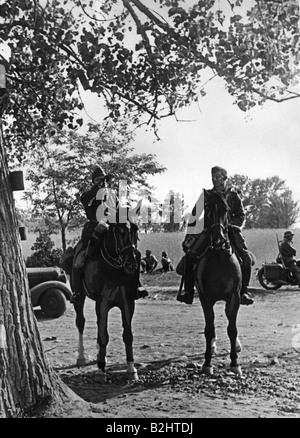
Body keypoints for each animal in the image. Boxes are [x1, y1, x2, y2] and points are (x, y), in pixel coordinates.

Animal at [71, 221, 139, 382]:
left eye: (135, 231)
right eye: (120, 231)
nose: (131, 263)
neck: (114, 269)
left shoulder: (128, 303)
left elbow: (128, 336)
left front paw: (131, 369)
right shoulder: (103, 302)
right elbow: (103, 336)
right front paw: (101, 371)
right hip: (80, 298)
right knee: (81, 322)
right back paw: (82, 357)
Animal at [195, 191, 244, 376]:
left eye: (227, 210)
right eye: (207, 209)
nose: (218, 239)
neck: (219, 258)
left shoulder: (234, 297)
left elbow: (232, 328)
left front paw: (235, 363)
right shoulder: (205, 298)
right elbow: (209, 329)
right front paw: (207, 363)